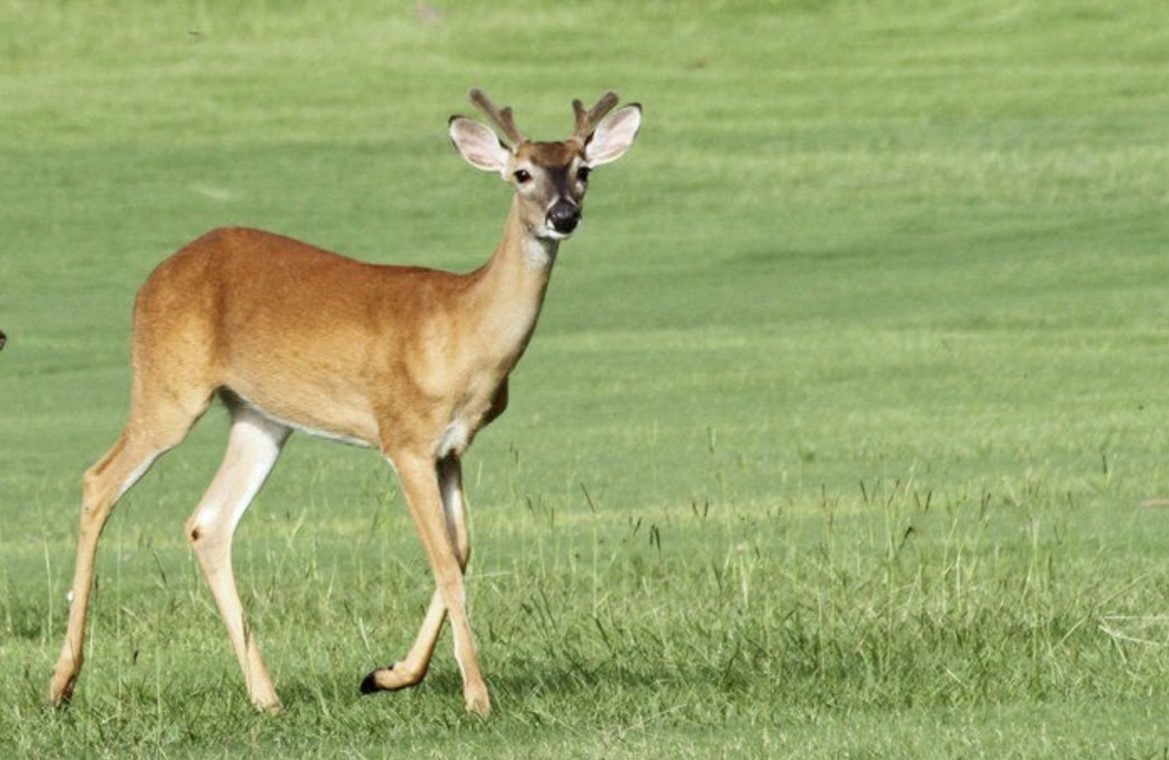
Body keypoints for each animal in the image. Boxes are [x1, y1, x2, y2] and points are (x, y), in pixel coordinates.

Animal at [46, 89, 641, 717]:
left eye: (583, 170)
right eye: (521, 172)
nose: (563, 215)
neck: (463, 329)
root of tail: (151, 280)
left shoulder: (452, 448)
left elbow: (460, 552)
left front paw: (388, 674)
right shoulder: (403, 437)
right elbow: (444, 561)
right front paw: (477, 698)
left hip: (259, 416)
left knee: (208, 522)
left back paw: (266, 696)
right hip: (169, 389)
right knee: (99, 481)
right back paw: (62, 682)